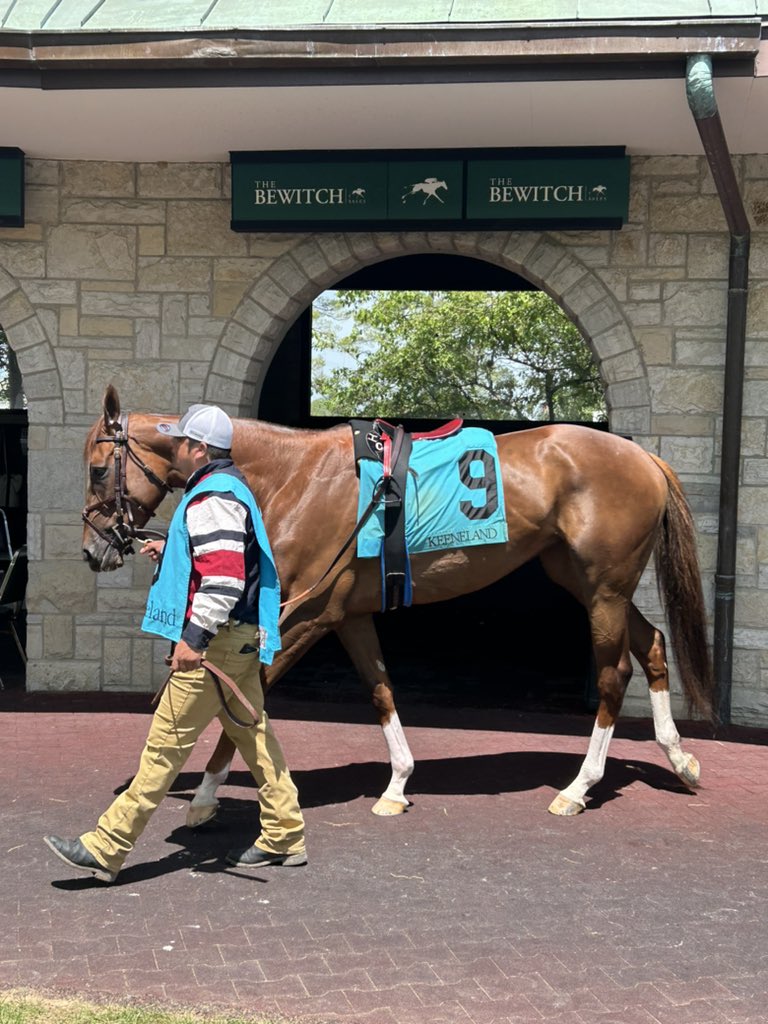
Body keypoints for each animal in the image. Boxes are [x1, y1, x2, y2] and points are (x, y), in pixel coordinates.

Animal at [81, 385, 712, 823]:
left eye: (96, 468)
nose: (94, 550)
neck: (297, 475)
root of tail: (643, 458)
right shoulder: (349, 615)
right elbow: (380, 689)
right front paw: (397, 785)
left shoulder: (304, 616)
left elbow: (246, 699)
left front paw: (206, 796)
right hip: (586, 580)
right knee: (654, 646)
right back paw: (679, 759)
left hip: (604, 587)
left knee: (614, 674)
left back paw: (578, 788)